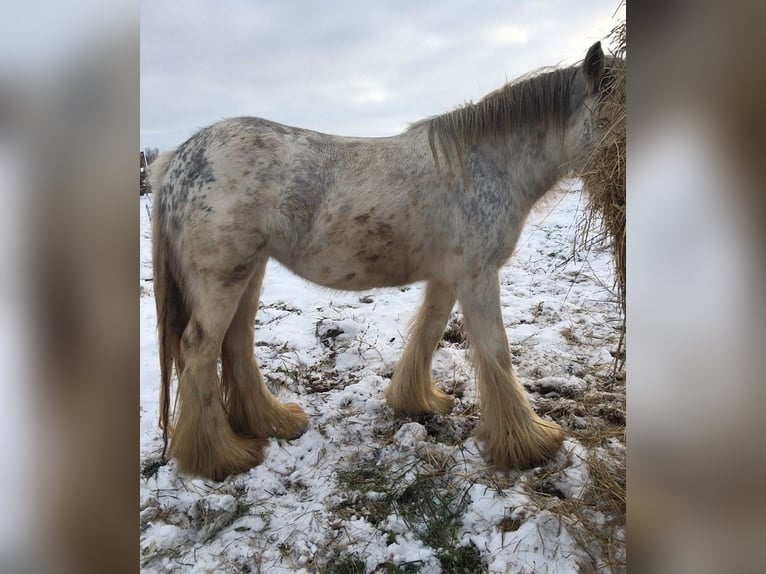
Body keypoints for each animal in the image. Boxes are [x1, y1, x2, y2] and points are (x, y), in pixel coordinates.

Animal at [152, 42, 612, 482]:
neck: (485, 165)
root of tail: (177, 161)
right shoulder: (477, 276)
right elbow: (496, 351)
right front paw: (531, 441)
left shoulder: (448, 277)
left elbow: (428, 332)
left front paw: (416, 400)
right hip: (223, 277)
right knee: (199, 349)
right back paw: (219, 456)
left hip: (251, 270)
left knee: (237, 341)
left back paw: (273, 422)